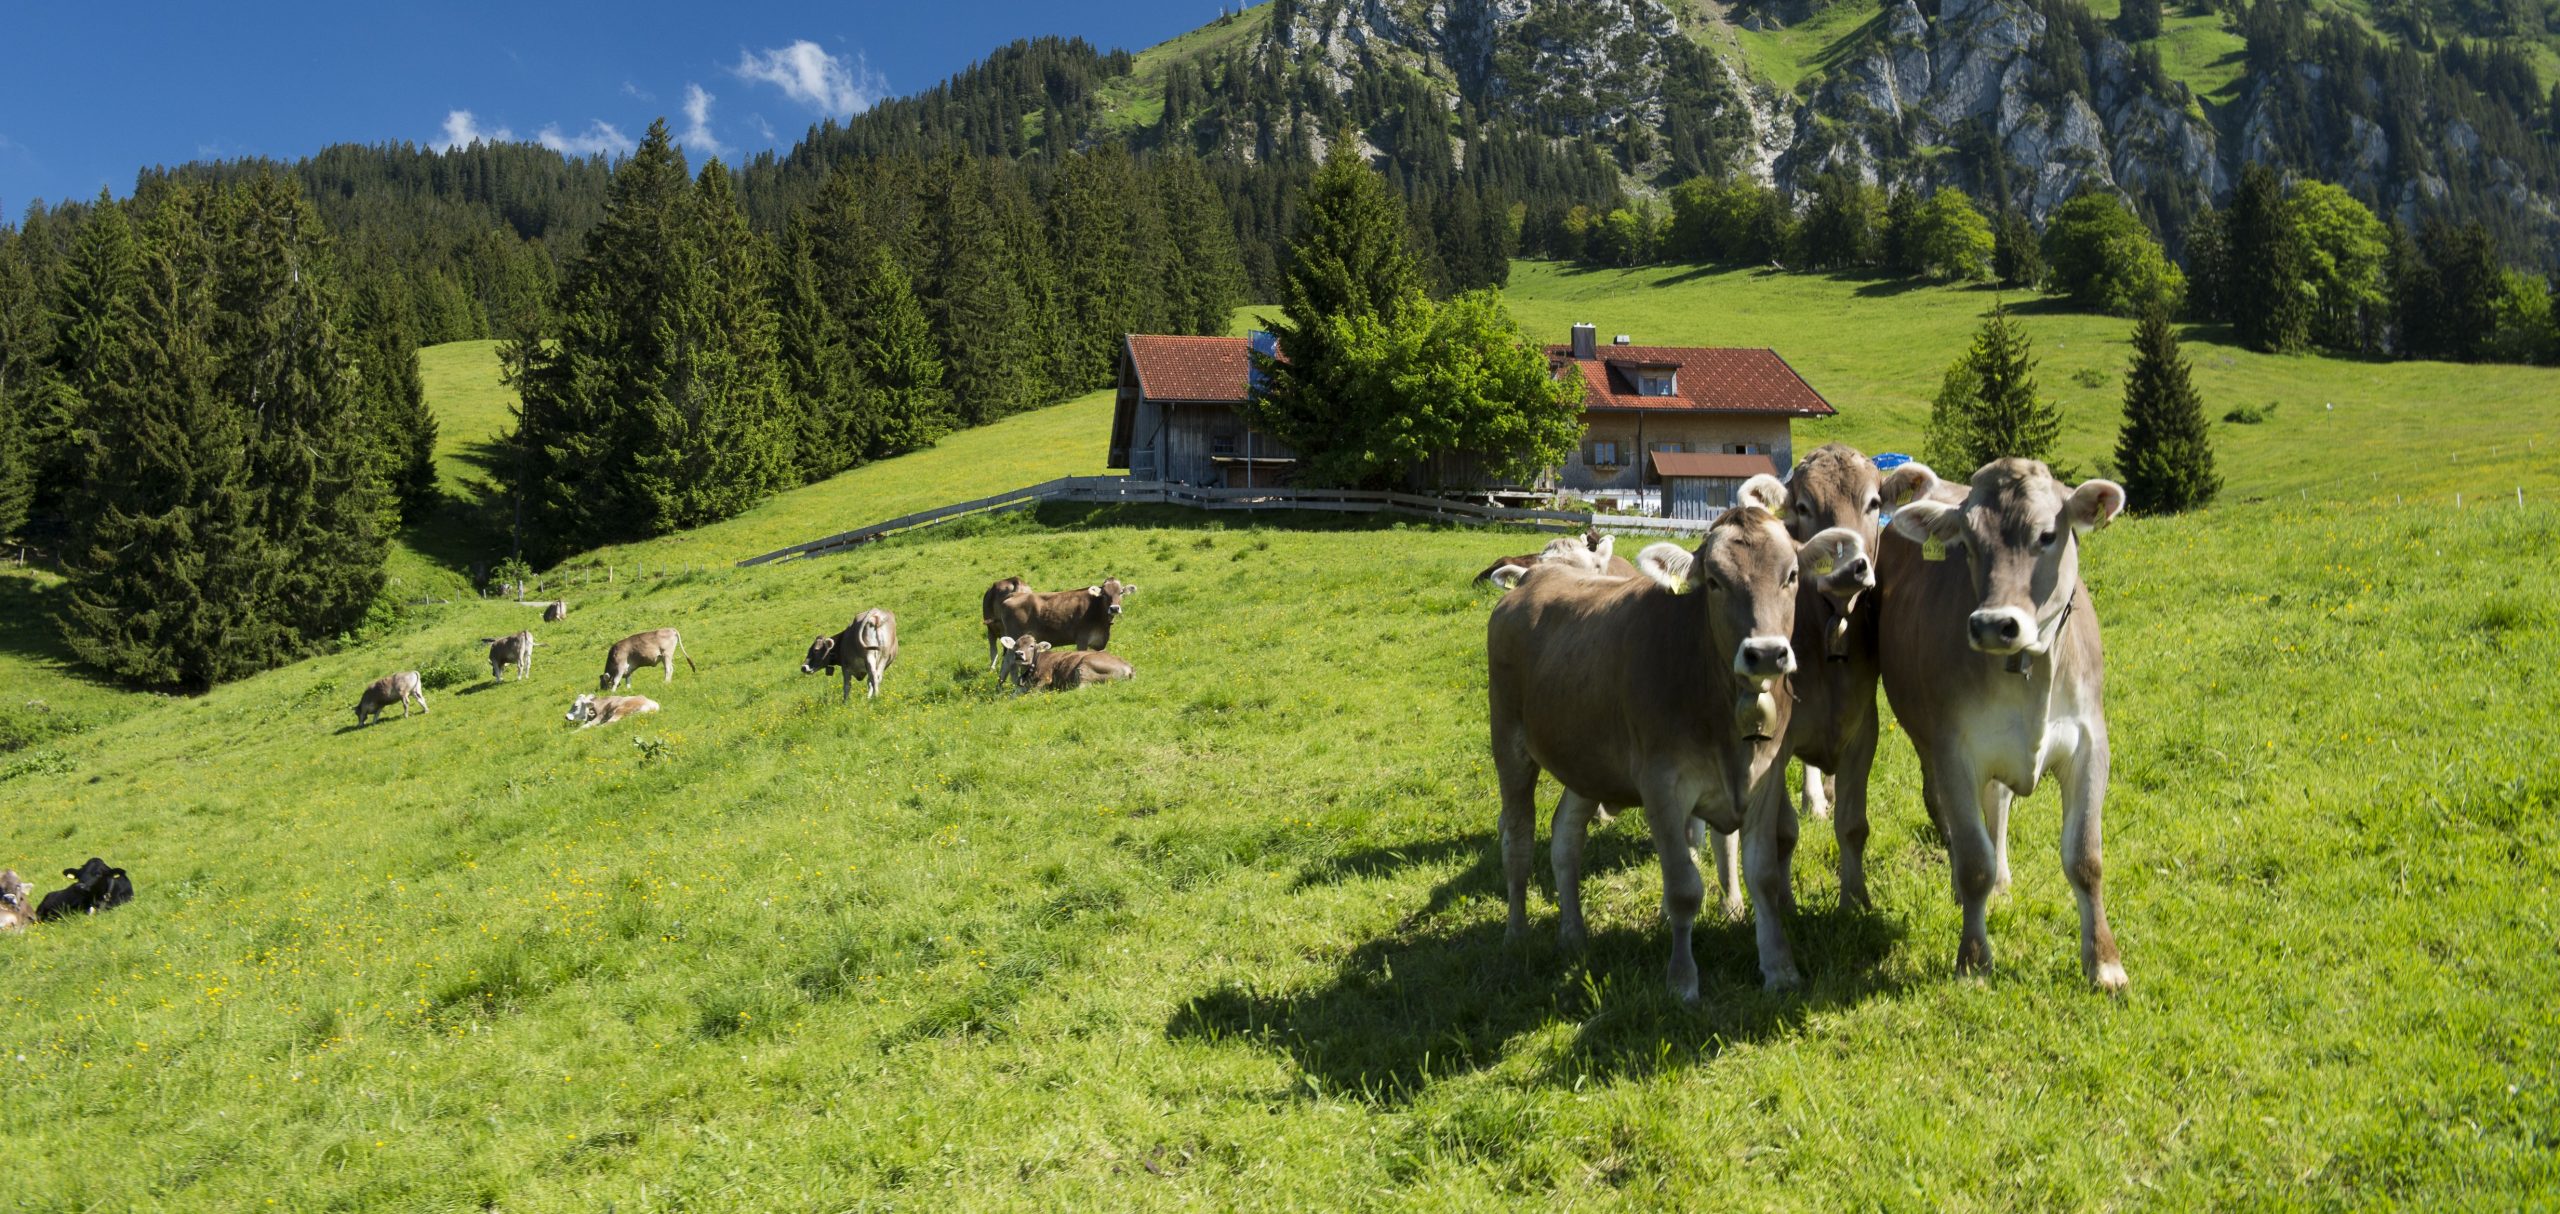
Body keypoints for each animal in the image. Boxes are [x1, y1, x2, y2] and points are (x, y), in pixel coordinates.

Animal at [987, 579, 1134, 673]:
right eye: (1104, 594)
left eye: (1120, 592)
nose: (1114, 608)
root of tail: (1014, 595)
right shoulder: (1082, 639)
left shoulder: (1100, 642)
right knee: (1008, 662)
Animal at [996, 637, 1135, 693]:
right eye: (1016, 645)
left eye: (1031, 646)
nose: (1019, 654)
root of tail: (1128, 667)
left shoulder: (1046, 677)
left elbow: (1033, 692)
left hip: (1084, 666)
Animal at [1489, 474, 1860, 997]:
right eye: (1714, 582)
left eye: (1790, 575)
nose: (1766, 654)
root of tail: (1534, 580)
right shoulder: (1662, 787)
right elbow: (1684, 889)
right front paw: (1682, 980)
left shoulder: (1765, 780)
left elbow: (1765, 877)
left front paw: (1780, 968)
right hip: (1509, 742)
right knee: (1518, 836)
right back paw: (1517, 935)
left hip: (1586, 759)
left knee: (1565, 837)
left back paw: (1573, 935)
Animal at [1878, 458, 2130, 992]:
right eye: (1967, 544)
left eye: (2048, 534)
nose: (1994, 624)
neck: (2029, 672)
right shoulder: (1955, 749)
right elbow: (1974, 861)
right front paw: (1974, 962)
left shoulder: (2090, 743)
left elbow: (2086, 857)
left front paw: (2104, 963)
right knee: (1948, 813)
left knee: (1998, 804)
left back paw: (2005, 881)